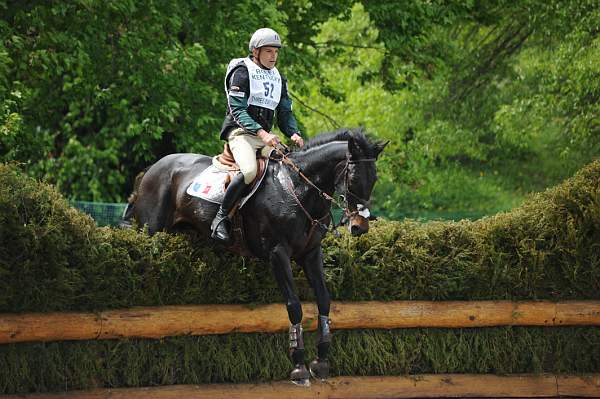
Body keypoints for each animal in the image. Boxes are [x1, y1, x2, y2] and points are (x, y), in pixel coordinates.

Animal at [124, 128, 386, 388]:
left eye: (374, 180)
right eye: (353, 178)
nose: (360, 227)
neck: (297, 187)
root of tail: (152, 168)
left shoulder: (311, 254)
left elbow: (324, 300)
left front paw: (321, 362)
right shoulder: (277, 253)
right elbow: (294, 306)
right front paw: (299, 367)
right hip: (150, 231)